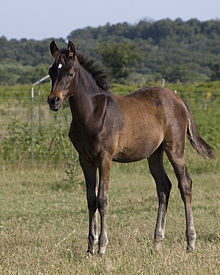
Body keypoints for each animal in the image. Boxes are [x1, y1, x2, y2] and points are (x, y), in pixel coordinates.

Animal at [47, 40, 214, 256]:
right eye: (51, 72)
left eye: (70, 73)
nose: (54, 100)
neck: (92, 113)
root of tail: (179, 100)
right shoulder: (85, 159)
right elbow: (91, 199)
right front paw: (90, 248)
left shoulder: (105, 157)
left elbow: (102, 199)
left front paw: (102, 247)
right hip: (155, 154)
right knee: (164, 187)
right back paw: (157, 242)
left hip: (175, 149)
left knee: (185, 184)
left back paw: (190, 243)